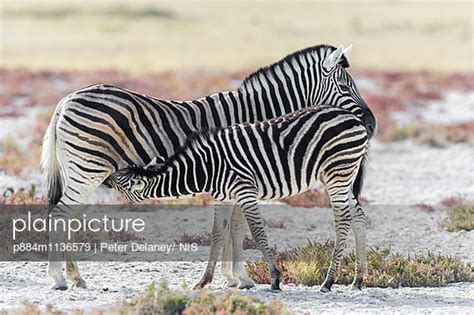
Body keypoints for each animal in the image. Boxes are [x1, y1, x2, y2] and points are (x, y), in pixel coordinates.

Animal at [108, 106, 370, 294]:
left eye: (120, 181)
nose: (106, 178)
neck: (206, 168)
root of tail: (353, 117)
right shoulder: (223, 197)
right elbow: (217, 234)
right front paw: (204, 281)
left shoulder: (245, 190)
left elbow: (257, 232)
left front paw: (274, 278)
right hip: (342, 177)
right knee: (358, 218)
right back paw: (357, 280)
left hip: (337, 173)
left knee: (343, 221)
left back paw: (329, 281)